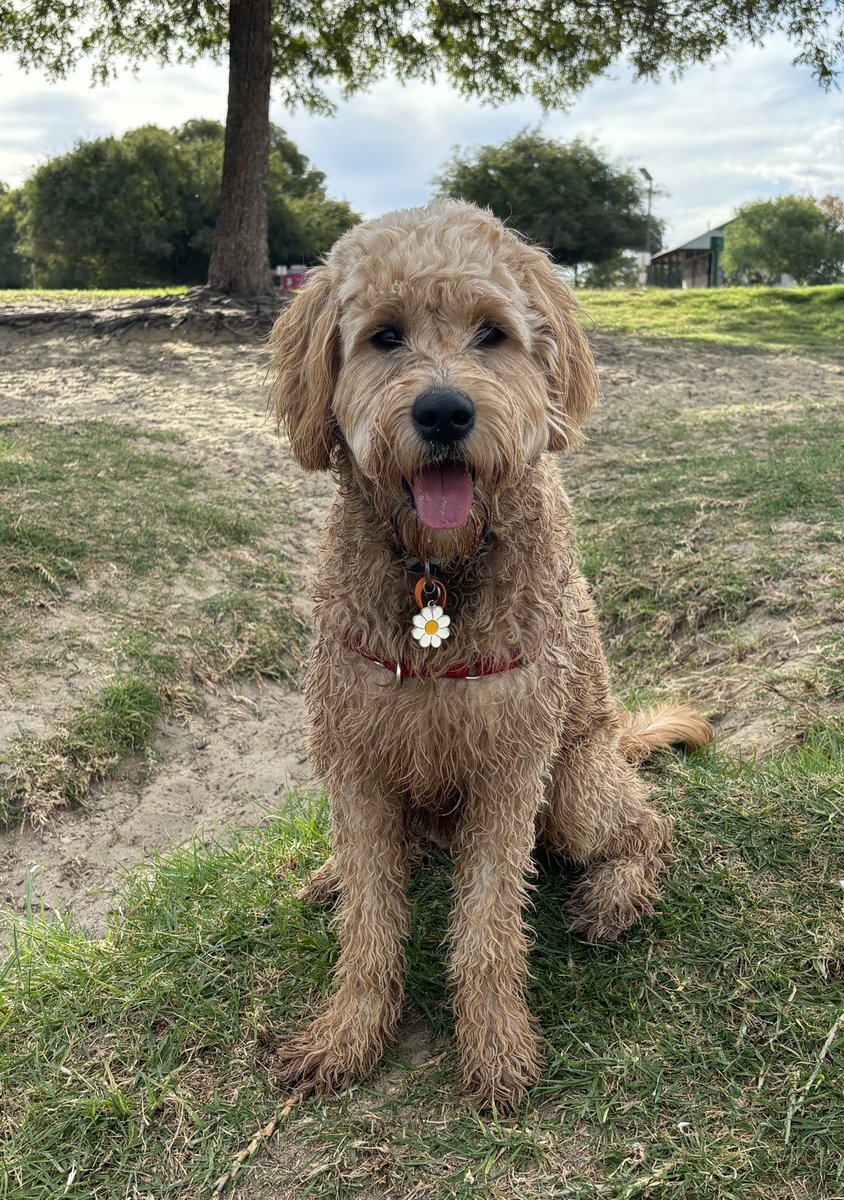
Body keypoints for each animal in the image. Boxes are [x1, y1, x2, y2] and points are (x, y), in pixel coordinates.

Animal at [267, 196, 710, 1104]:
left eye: (492, 333)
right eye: (386, 335)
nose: (443, 413)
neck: (437, 578)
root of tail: (616, 740)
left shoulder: (509, 773)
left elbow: (488, 925)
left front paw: (496, 1042)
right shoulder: (357, 761)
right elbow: (370, 919)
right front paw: (348, 1034)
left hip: (573, 791)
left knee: (648, 825)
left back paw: (615, 897)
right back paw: (331, 874)